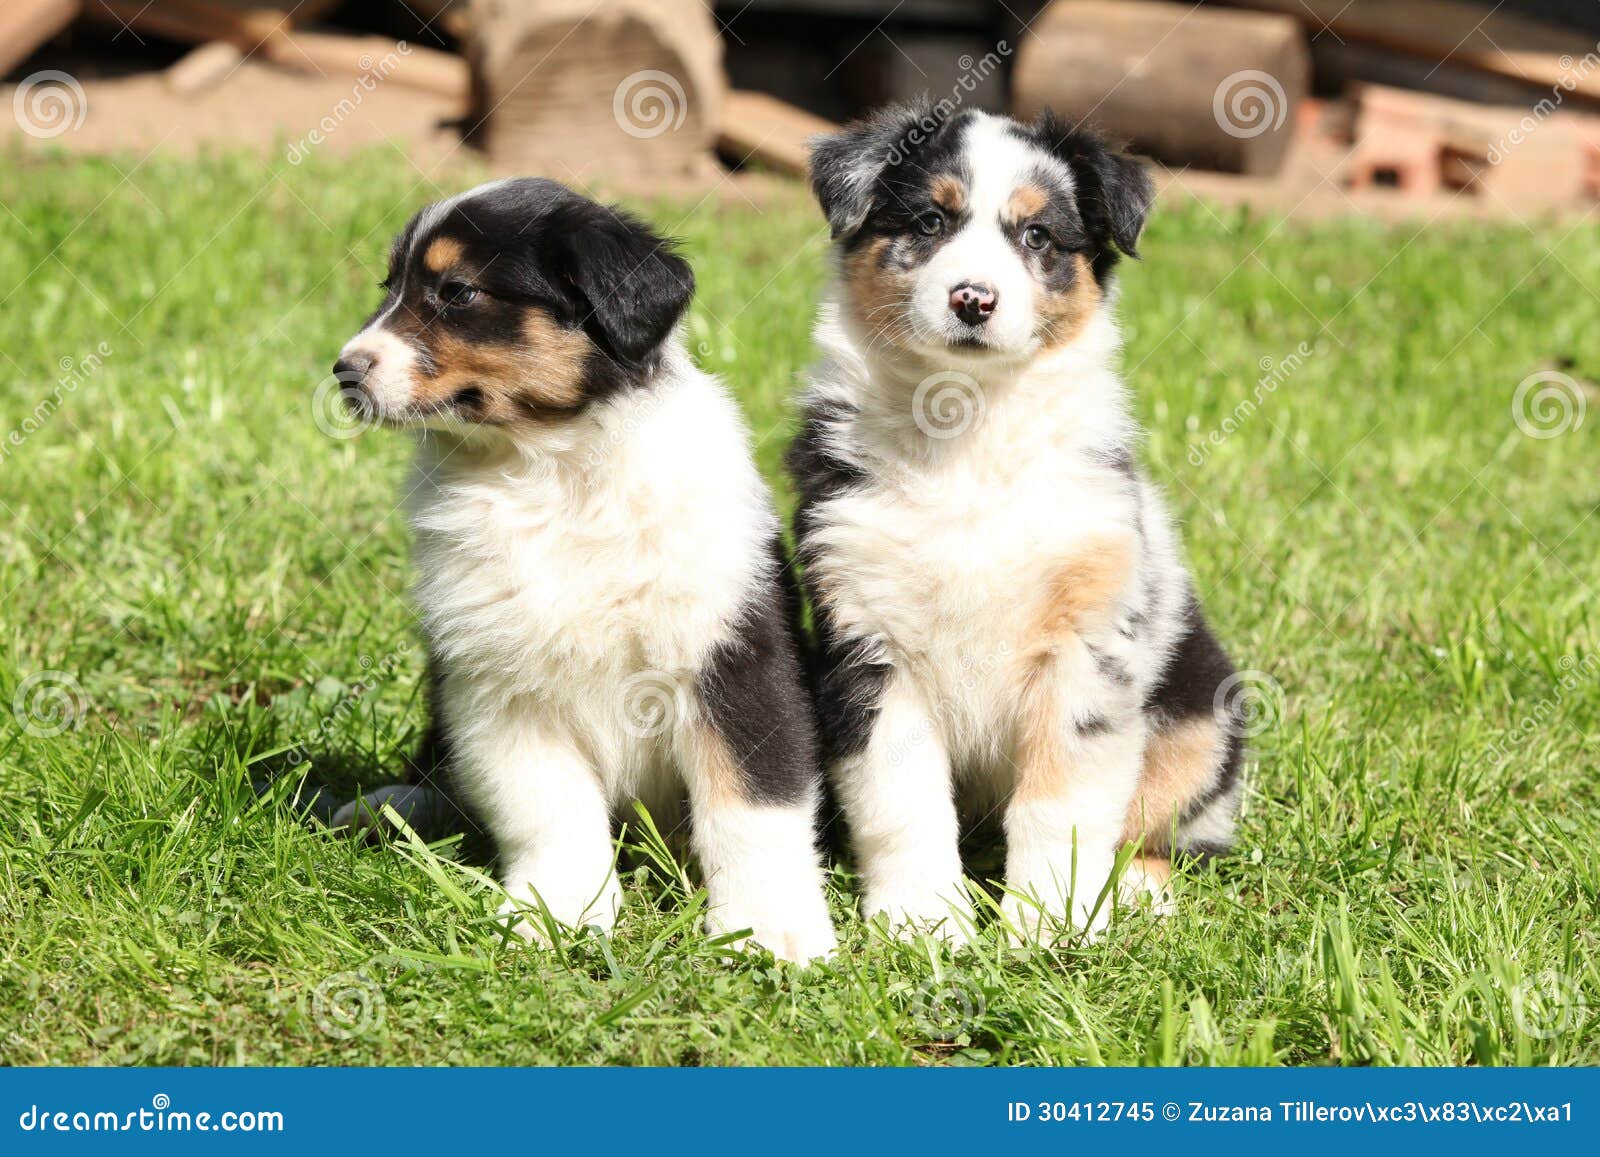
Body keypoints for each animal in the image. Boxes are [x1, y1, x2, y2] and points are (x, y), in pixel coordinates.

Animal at [337, 178, 838, 960]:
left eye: (458, 293)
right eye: (391, 288)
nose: (344, 369)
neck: (550, 471)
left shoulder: (734, 654)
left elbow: (753, 805)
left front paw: (770, 927)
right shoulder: (496, 680)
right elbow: (549, 811)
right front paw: (558, 911)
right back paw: (394, 802)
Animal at [793, 104, 1241, 947]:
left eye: (1037, 236)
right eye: (930, 221)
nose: (973, 298)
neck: (968, 424)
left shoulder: (1086, 647)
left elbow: (1059, 803)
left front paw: (1048, 926)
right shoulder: (869, 643)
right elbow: (903, 801)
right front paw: (924, 922)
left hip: (1203, 716)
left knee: (1163, 826)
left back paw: (1137, 889)